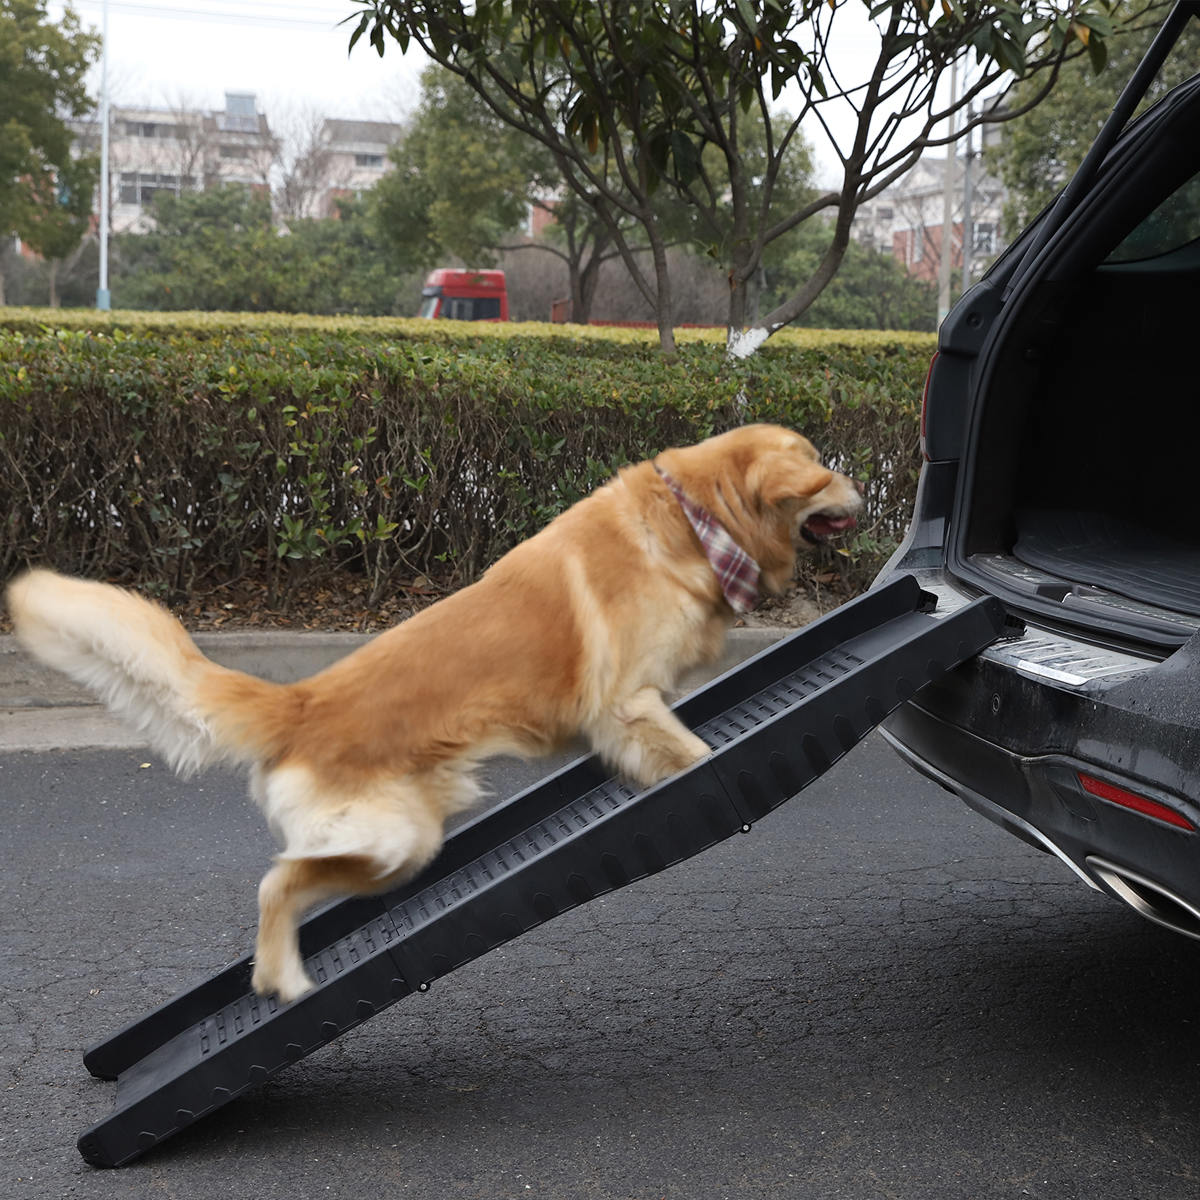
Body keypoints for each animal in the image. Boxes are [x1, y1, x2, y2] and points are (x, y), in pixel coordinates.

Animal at [4, 422, 859, 1003]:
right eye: (822, 465)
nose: (858, 488)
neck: (695, 521)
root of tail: (300, 702)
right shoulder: (628, 701)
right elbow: (691, 754)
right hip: (395, 840)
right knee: (276, 882)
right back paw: (284, 978)